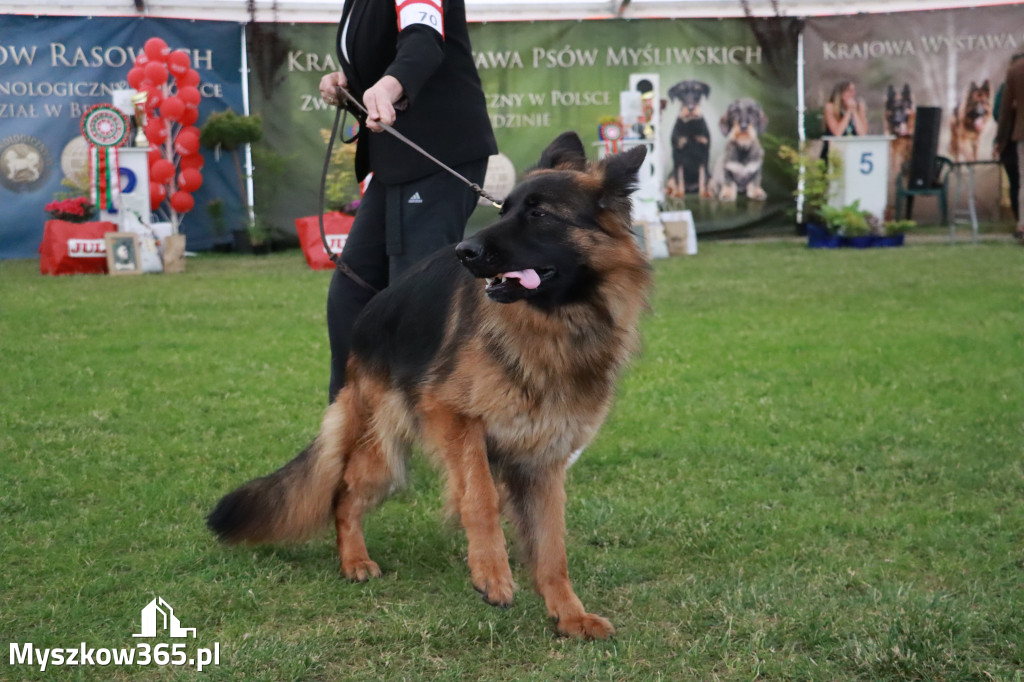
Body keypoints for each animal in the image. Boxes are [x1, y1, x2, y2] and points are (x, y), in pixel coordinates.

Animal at [208, 131, 651, 638]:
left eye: (538, 214)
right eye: (504, 210)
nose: (465, 251)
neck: (557, 325)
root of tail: (370, 313)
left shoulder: (543, 459)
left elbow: (552, 546)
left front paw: (569, 614)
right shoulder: (454, 417)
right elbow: (479, 497)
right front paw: (492, 573)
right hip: (384, 452)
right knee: (343, 492)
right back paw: (354, 560)